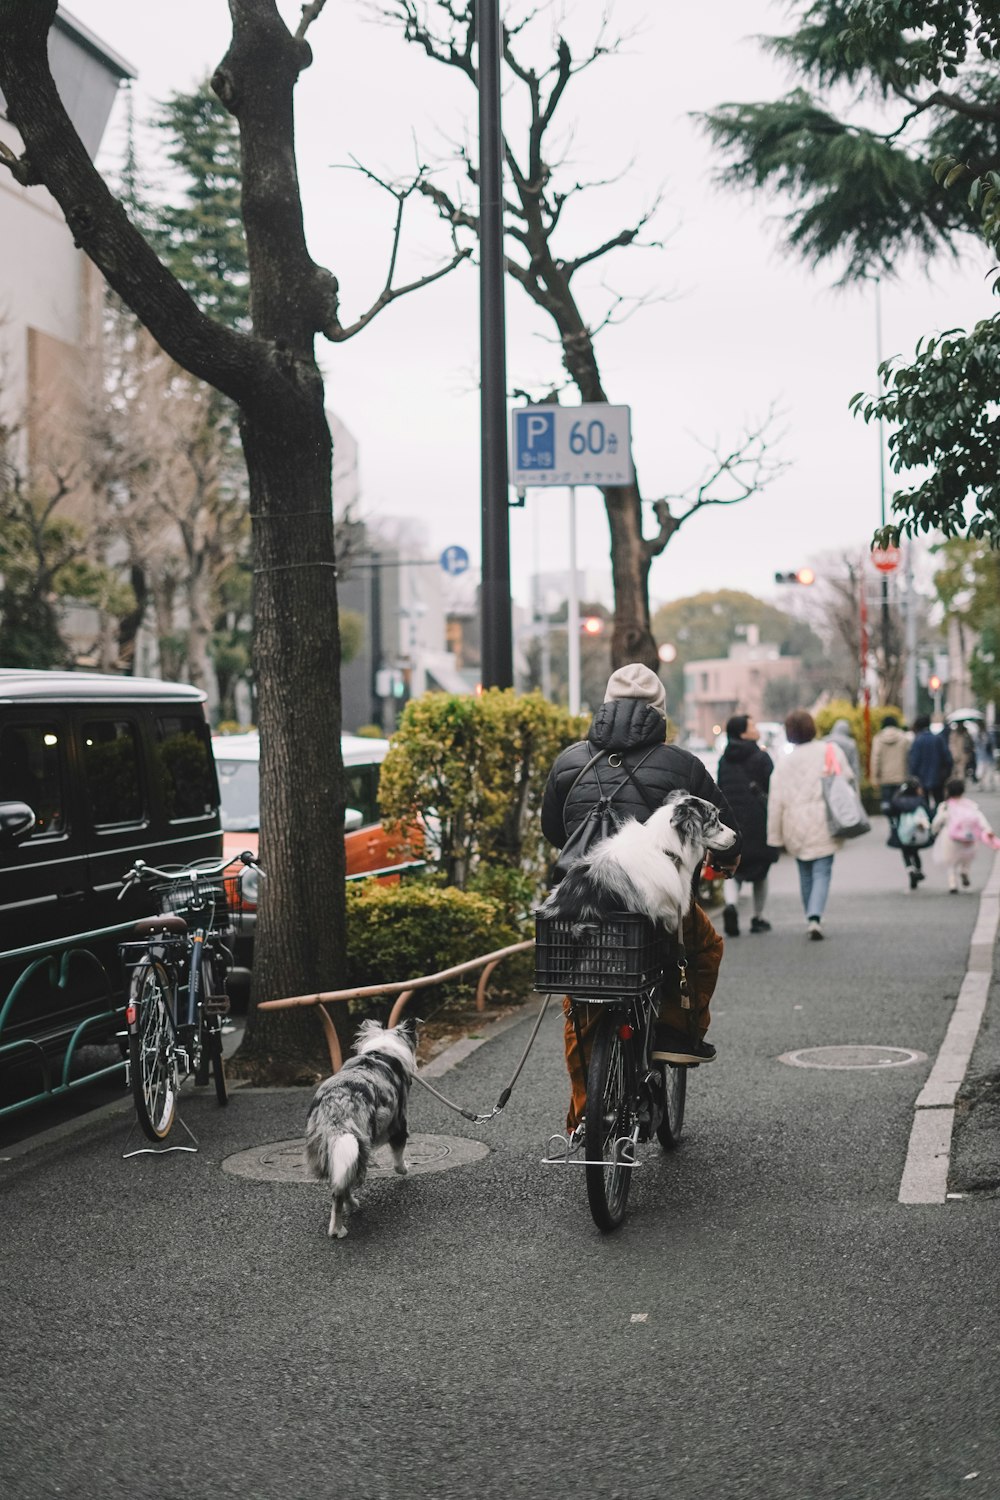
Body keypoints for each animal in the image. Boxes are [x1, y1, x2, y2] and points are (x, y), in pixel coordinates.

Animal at [302, 1020, 416, 1242]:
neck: (380, 1051)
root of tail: (337, 1110)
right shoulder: (399, 1124)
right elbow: (398, 1158)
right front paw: (405, 1168)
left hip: (332, 1147)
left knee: (339, 1182)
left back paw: (350, 1207)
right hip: (359, 1145)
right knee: (341, 1191)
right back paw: (338, 1228)